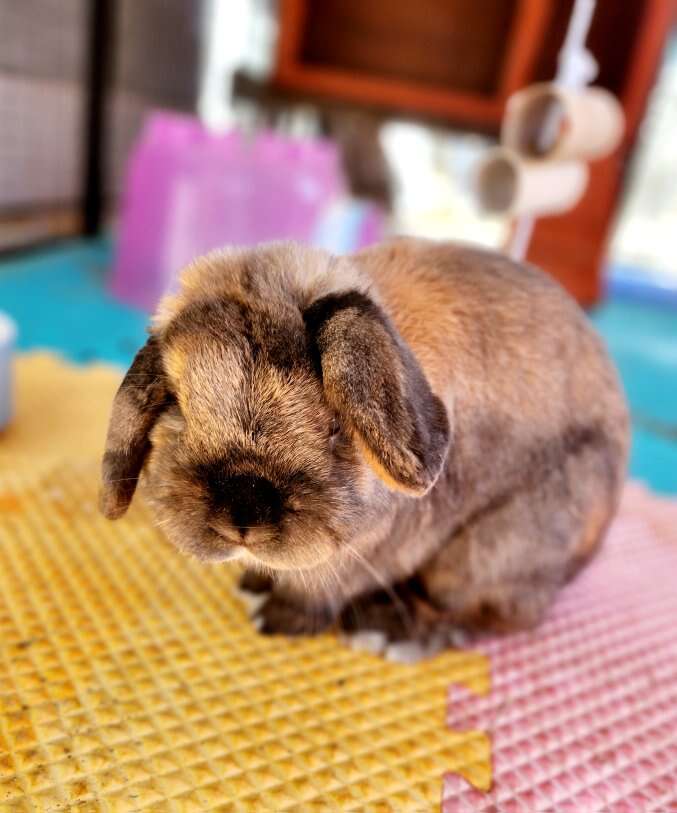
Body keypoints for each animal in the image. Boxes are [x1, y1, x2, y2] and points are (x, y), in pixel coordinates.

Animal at [99, 238, 628, 644]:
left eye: (335, 424)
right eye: (178, 406)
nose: (242, 512)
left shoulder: (368, 554)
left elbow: (318, 592)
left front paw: (277, 619)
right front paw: (253, 583)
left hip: (499, 545)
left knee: (496, 614)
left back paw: (389, 630)